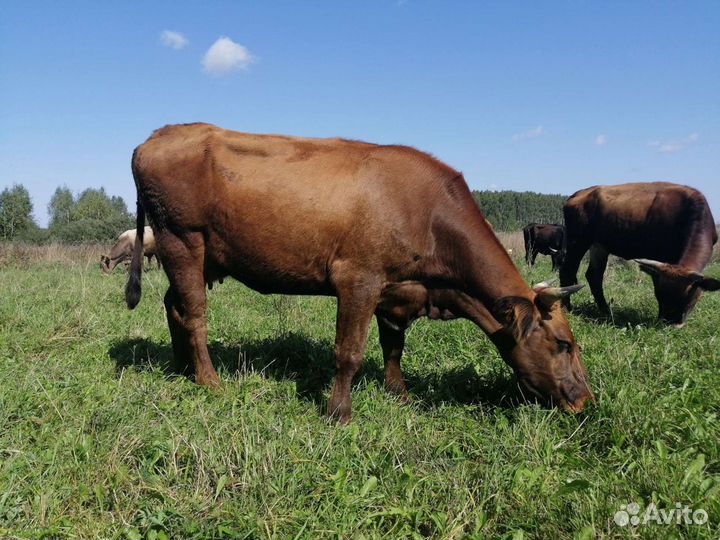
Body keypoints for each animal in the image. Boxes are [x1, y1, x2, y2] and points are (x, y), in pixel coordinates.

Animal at [125, 123, 593, 423]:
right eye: (565, 344)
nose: (585, 401)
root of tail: (156, 136)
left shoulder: (397, 290)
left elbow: (393, 346)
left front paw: (398, 394)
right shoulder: (358, 280)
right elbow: (348, 352)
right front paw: (339, 413)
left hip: (201, 256)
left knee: (174, 305)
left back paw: (182, 366)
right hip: (181, 240)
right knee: (195, 313)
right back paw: (209, 380)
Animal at [559, 182, 720, 327]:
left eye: (689, 297)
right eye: (660, 294)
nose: (670, 323)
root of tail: (579, 193)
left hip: (599, 246)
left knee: (594, 275)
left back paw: (605, 311)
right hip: (578, 241)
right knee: (567, 270)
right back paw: (567, 307)